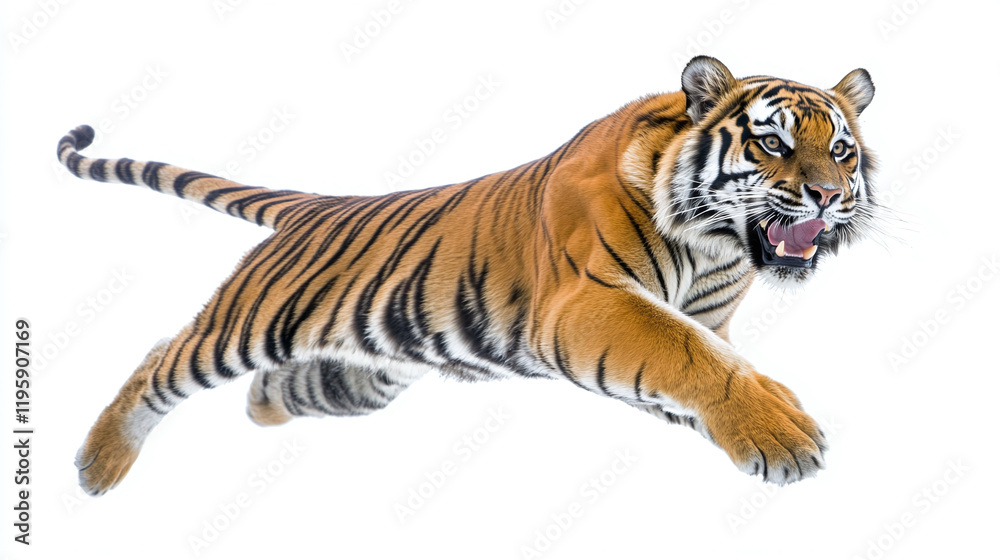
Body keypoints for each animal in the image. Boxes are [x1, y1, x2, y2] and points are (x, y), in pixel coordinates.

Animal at [57, 56, 877, 496]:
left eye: (841, 151)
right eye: (772, 143)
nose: (826, 195)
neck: (717, 247)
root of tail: (316, 207)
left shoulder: (701, 319)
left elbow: (693, 370)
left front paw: (765, 423)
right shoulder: (588, 302)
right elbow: (689, 358)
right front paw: (783, 434)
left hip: (364, 371)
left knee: (276, 391)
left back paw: (260, 408)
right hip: (249, 321)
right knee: (160, 359)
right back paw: (98, 464)